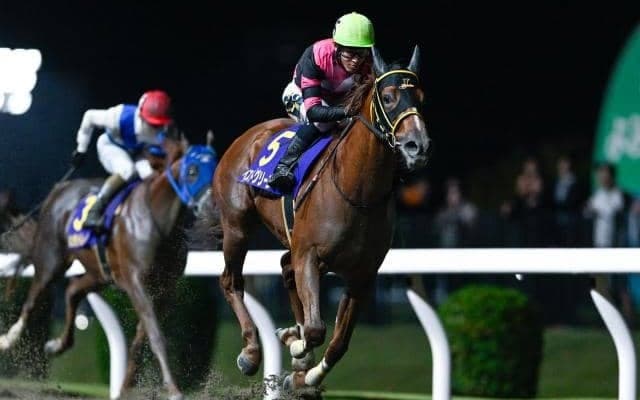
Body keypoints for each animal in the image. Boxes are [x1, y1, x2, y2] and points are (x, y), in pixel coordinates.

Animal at [0, 127, 218, 400]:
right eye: (192, 171)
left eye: (215, 167)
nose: (211, 206)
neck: (158, 222)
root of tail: (60, 188)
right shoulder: (137, 283)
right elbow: (156, 335)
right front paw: (173, 389)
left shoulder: (164, 289)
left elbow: (141, 339)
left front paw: (125, 386)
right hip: (51, 259)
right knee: (32, 299)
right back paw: (8, 339)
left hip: (98, 272)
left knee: (73, 291)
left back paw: (57, 345)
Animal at [203, 45, 430, 389]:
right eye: (389, 97)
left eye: (420, 96)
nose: (418, 145)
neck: (357, 192)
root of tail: (247, 136)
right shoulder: (309, 256)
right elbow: (315, 329)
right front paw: (295, 345)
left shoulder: (362, 274)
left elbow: (338, 342)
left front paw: (307, 373)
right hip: (237, 226)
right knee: (231, 280)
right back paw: (252, 351)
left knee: (285, 267)